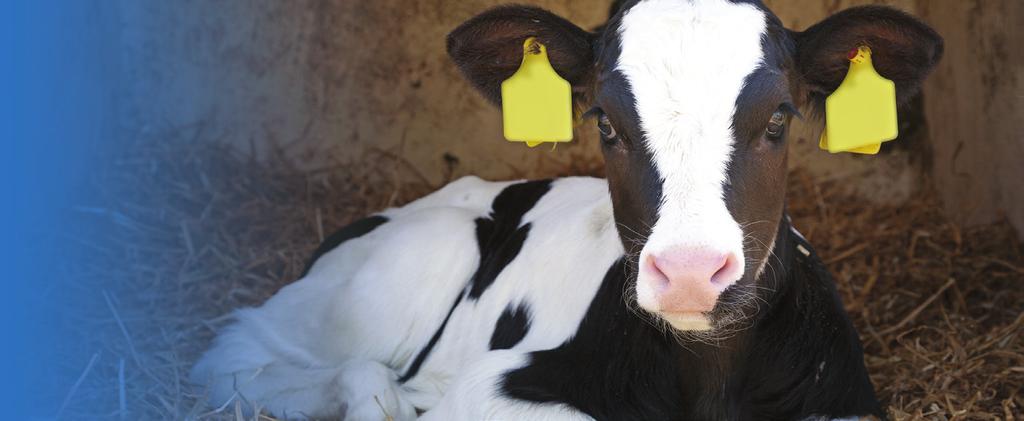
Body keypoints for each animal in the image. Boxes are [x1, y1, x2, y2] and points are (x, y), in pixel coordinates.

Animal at [192, 1, 942, 419]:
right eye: (606, 122)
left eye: (780, 118)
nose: (691, 272)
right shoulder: (495, 390)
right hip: (414, 260)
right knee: (243, 352)